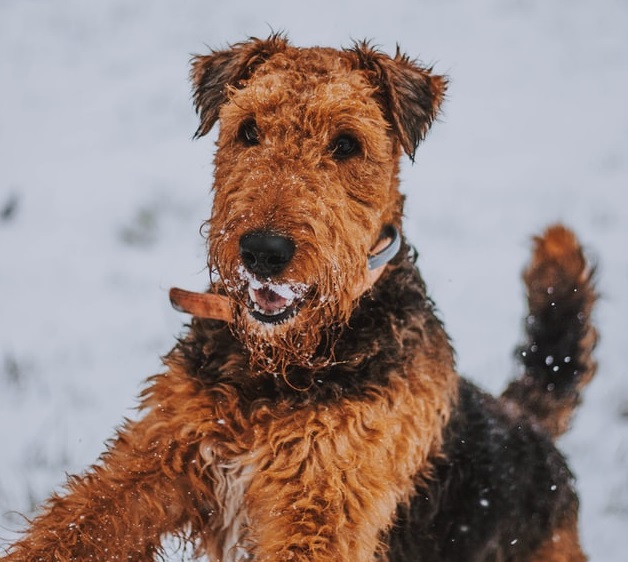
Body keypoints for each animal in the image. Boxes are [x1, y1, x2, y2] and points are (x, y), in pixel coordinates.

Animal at [1, 34, 600, 556]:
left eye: (346, 143)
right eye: (247, 131)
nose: (263, 252)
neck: (280, 371)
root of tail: (525, 419)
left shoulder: (321, 507)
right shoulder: (158, 454)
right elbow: (74, 525)